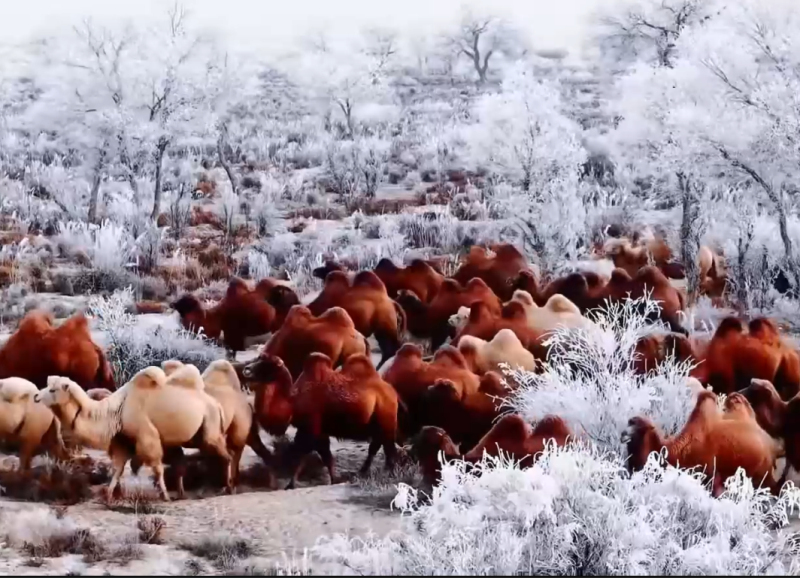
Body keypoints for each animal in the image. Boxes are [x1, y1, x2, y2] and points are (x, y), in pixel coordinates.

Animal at [37, 364, 231, 500]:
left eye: (53, 389)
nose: (37, 397)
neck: (116, 411)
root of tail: (217, 405)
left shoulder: (147, 435)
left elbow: (157, 467)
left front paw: (165, 496)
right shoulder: (123, 439)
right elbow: (118, 469)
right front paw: (108, 495)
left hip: (210, 428)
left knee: (224, 456)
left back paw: (226, 487)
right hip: (196, 436)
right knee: (186, 462)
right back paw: (185, 492)